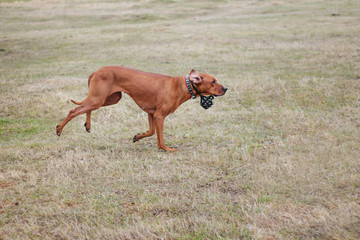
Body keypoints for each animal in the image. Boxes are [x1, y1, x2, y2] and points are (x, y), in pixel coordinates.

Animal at [56, 66, 228, 151]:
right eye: (213, 82)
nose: (226, 88)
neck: (181, 85)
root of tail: (96, 71)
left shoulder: (151, 114)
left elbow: (151, 132)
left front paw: (138, 136)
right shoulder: (159, 116)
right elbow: (160, 137)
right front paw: (166, 149)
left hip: (109, 99)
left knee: (86, 108)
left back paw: (88, 125)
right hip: (99, 99)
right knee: (74, 111)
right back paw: (59, 129)